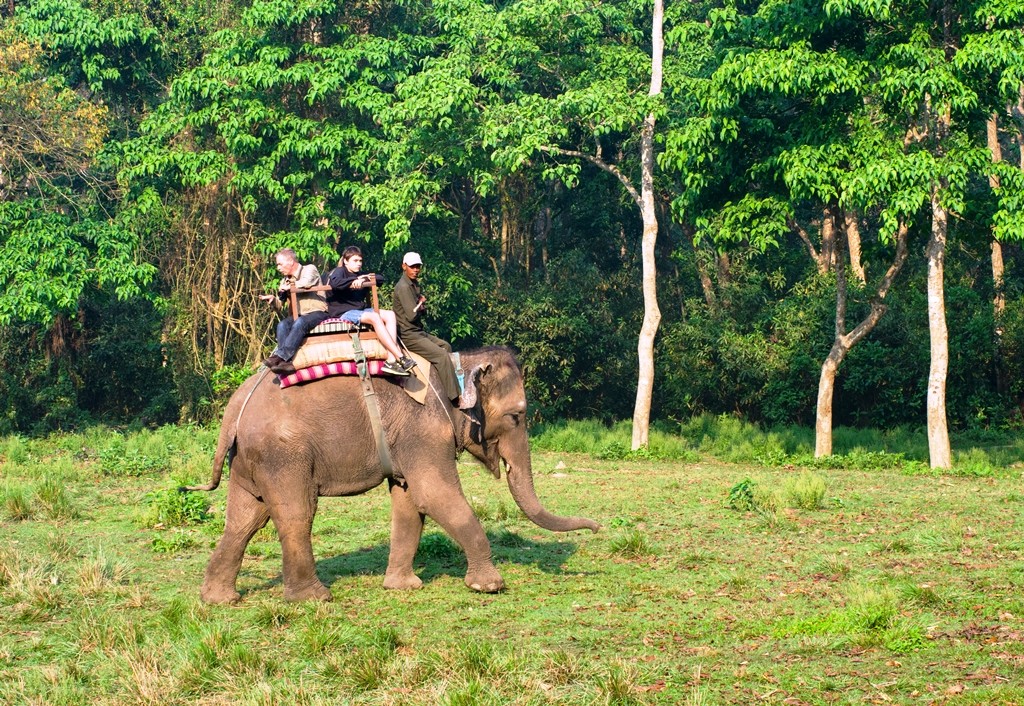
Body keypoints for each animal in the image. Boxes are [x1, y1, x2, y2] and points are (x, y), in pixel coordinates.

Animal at [187, 344, 598, 602]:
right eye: (517, 415)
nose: (596, 528)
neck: (454, 363)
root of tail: (235, 409)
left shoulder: (410, 439)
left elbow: (408, 502)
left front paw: (404, 587)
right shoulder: (424, 430)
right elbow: (435, 494)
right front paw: (490, 586)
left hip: (250, 460)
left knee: (245, 519)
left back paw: (219, 599)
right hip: (283, 456)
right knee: (295, 514)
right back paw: (313, 598)